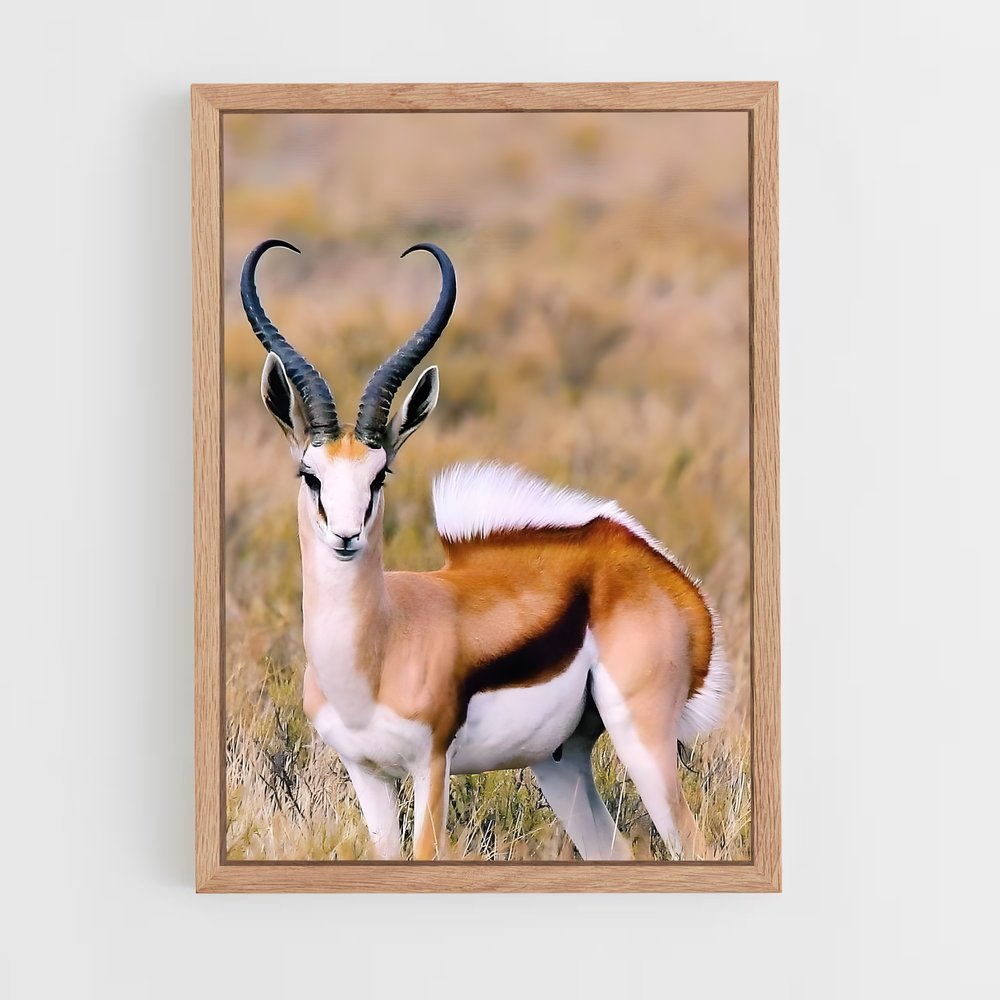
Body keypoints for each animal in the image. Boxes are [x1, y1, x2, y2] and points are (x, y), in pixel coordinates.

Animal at [241, 238, 730, 861]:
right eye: (310, 474)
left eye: (380, 474)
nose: (346, 536)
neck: (376, 652)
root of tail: (645, 561)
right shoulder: (366, 773)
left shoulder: (430, 765)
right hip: (561, 762)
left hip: (640, 739)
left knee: (693, 843)